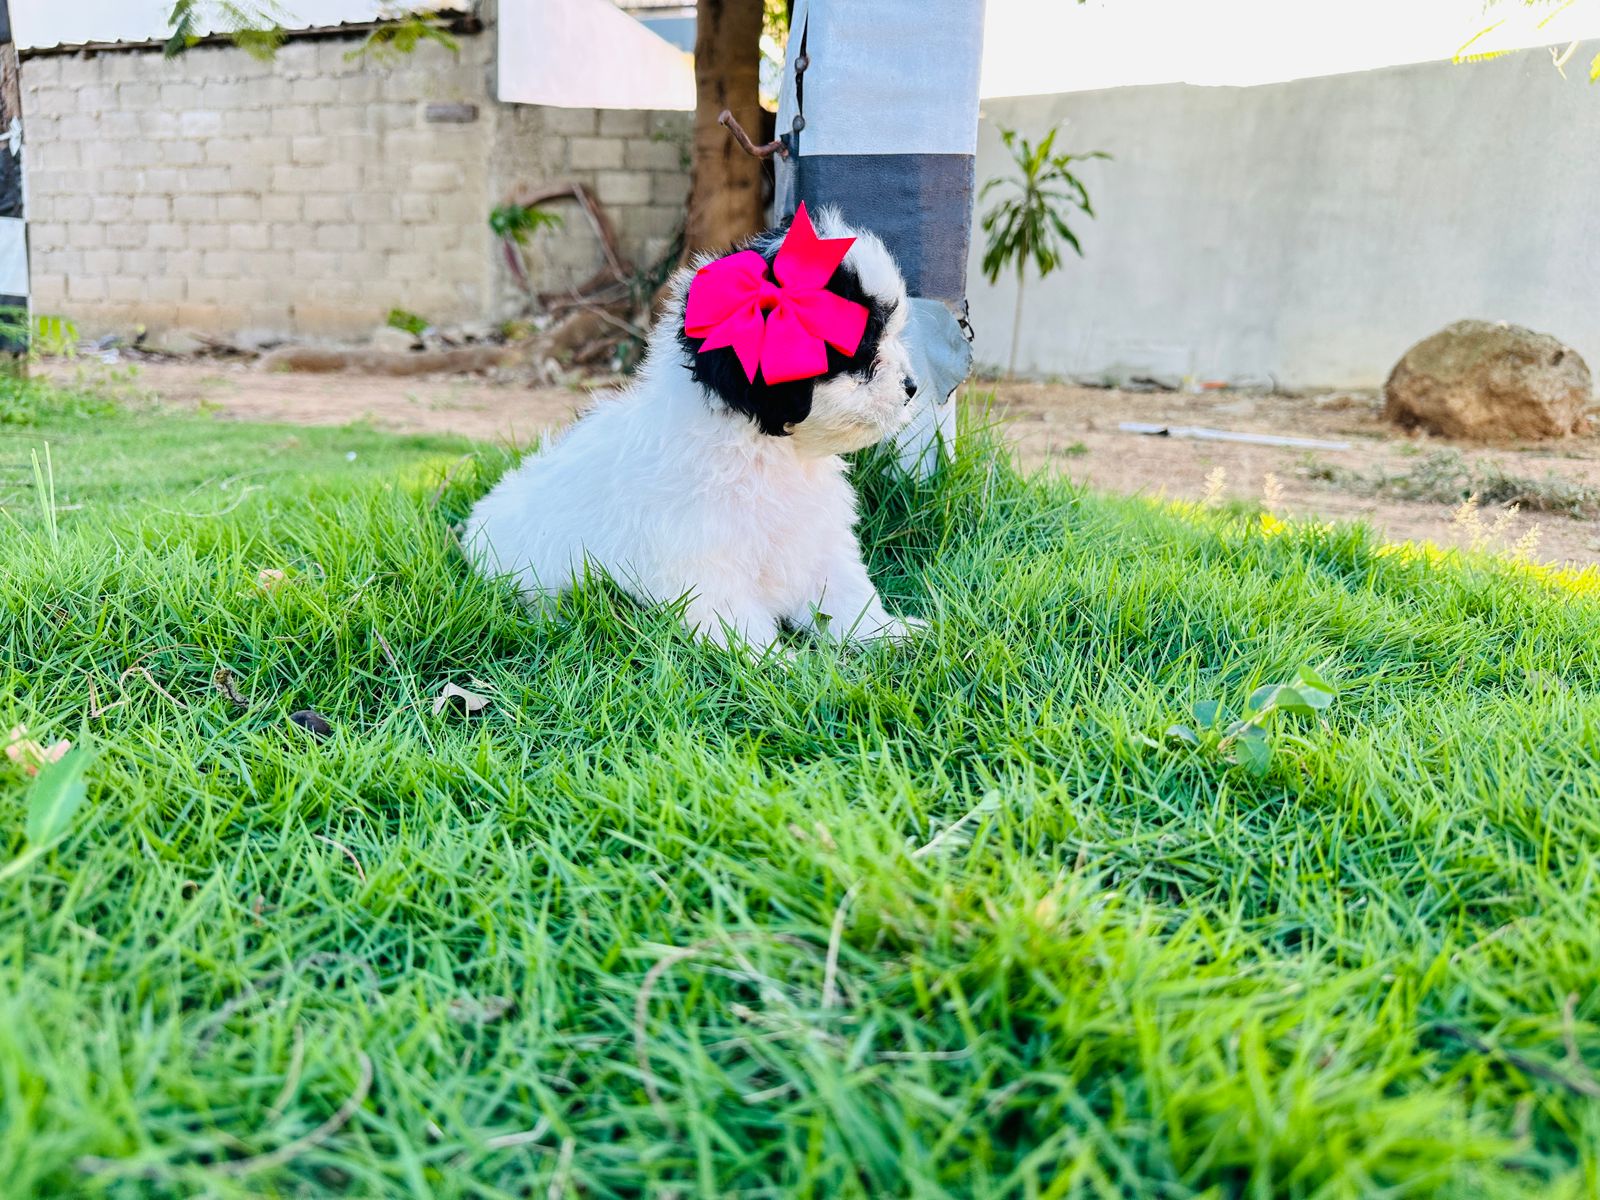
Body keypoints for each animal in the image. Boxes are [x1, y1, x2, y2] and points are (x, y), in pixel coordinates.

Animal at [467, 206, 928, 659]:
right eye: (860, 345)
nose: (911, 387)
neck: (766, 452)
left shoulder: (814, 541)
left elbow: (846, 595)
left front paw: (889, 633)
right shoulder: (703, 564)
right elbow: (738, 625)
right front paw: (781, 665)